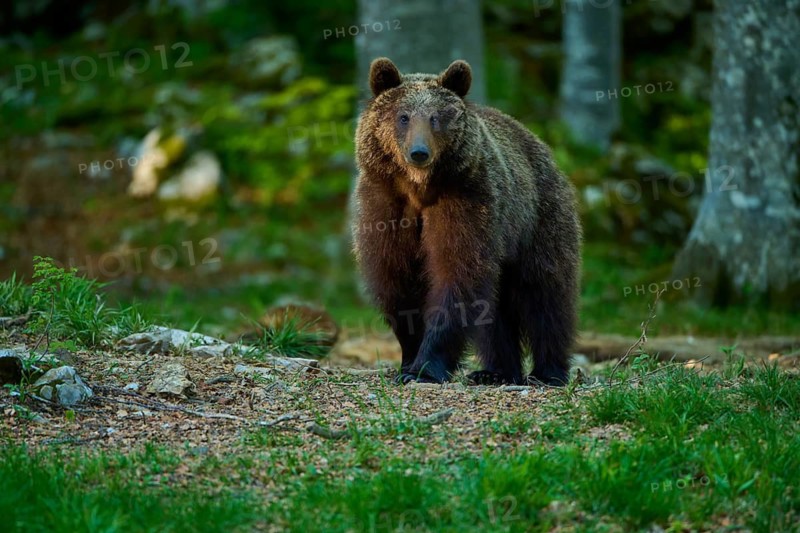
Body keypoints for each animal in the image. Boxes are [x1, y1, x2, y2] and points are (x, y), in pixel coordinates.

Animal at [352, 57, 581, 386]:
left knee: (545, 296)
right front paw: (408, 361)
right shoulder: (385, 206)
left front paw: (425, 368)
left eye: (436, 117)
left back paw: (548, 372)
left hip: (539, 218)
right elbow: (396, 280)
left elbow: (458, 273)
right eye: (403, 116)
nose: (419, 152)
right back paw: (496, 371)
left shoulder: (466, 199)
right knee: (497, 309)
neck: (418, 189)